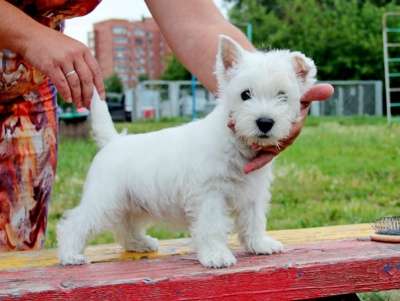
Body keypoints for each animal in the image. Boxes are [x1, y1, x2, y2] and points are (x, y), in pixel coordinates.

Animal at [57, 34, 316, 268]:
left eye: (282, 96)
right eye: (245, 94)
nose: (265, 122)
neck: (236, 143)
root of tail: (113, 141)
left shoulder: (252, 194)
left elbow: (253, 221)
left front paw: (260, 244)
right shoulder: (210, 195)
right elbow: (212, 227)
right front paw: (216, 256)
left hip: (131, 201)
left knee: (126, 225)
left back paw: (141, 243)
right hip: (104, 198)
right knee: (76, 222)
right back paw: (70, 255)